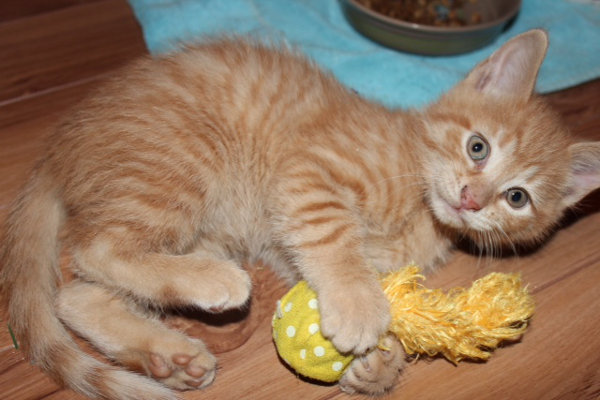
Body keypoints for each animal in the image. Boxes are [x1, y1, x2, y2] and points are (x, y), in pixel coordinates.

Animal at [1, 29, 600, 398]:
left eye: (517, 198)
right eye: (478, 147)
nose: (472, 199)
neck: (419, 204)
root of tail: (59, 146)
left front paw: (381, 366)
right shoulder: (307, 172)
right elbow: (334, 238)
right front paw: (358, 305)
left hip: (201, 224)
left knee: (76, 295)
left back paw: (167, 355)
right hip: (181, 167)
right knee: (94, 251)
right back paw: (212, 283)